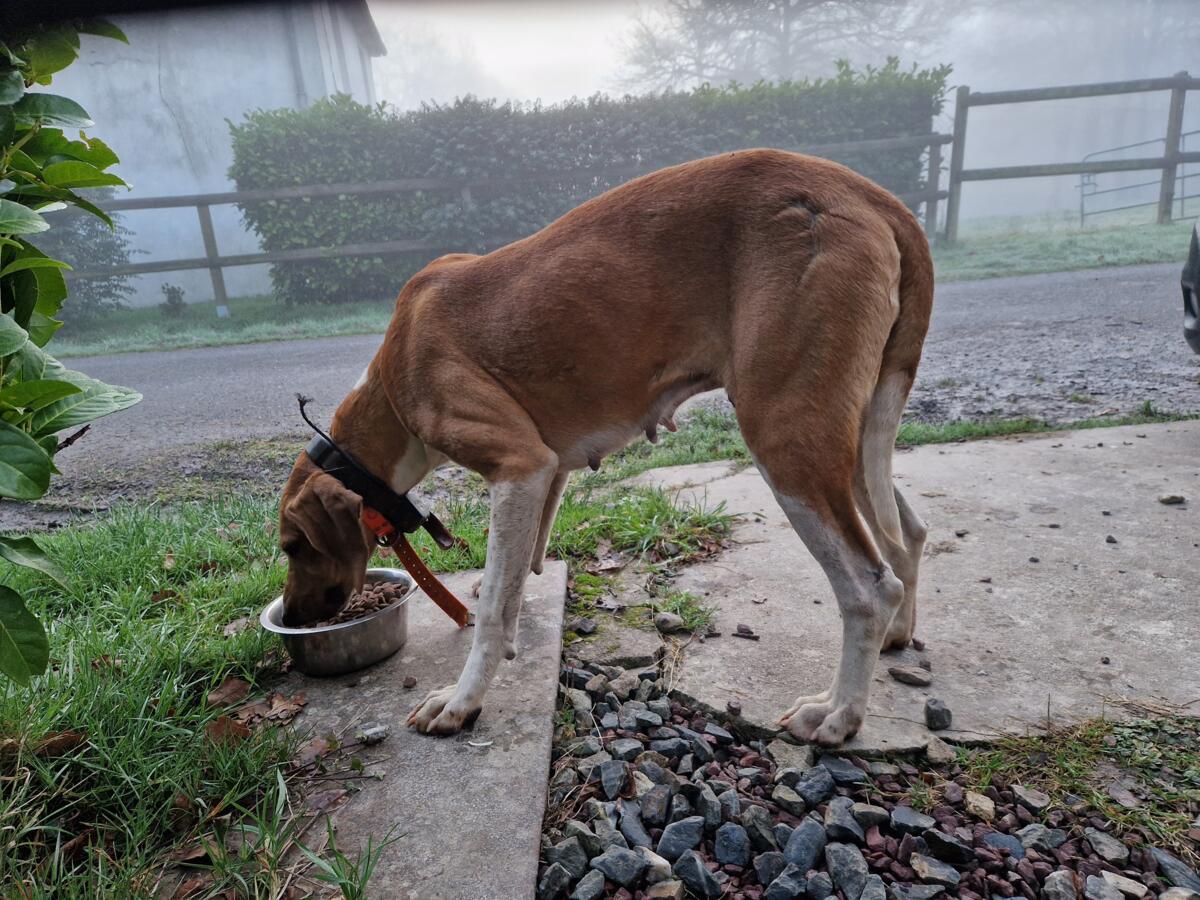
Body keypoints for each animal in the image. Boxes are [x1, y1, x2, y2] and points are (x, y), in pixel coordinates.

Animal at [278, 148, 933, 746]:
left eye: (291, 546)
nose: (291, 618)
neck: (391, 380)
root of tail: (872, 194)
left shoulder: (519, 465)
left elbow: (490, 614)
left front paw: (463, 701)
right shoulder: (546, 475)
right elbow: (513, 581)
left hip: (786, 437)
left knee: (870, 588)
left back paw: (838, 713)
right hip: (847, 437)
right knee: (908, 533)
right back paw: (897, 638)